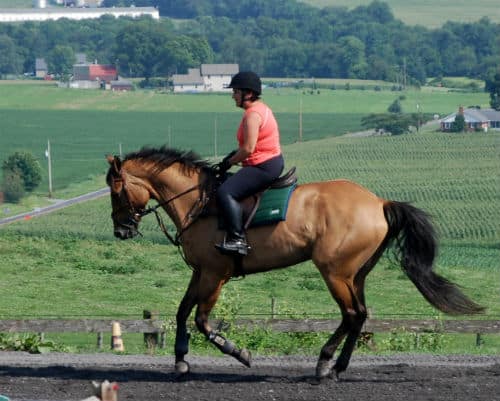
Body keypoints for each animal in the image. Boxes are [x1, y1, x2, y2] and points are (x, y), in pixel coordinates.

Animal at [105, 146, 484, 378]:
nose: (121, 230)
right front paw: (181, 361)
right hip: (355, 273)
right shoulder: (200, 272)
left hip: (334, 272)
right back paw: (335, 365)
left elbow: (201, 320)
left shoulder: (215, 273)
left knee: (352, 314)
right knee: (360, 315)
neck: (200, 202)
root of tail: (378, 202)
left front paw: (238, 352)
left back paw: (326, 364)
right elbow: (183, 313)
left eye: (116, 189)